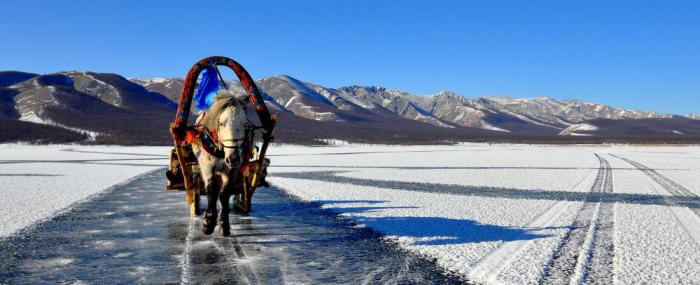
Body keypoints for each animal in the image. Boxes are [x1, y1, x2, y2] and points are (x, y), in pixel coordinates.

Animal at [191, 91, 249, 235]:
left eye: (244, 123)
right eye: (221, 123)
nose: (233, 158)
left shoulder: (232, 171)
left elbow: (224, 194)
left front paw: (224, 224)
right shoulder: (207, 166)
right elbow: (212, 191)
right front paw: (208, 222)